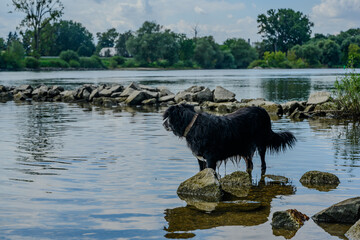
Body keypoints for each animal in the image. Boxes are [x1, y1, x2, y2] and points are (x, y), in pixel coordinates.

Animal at [163, 103, 296, 174]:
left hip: (261, 143)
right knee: (250, 163)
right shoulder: (200, 158)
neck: (193, 125)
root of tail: (263, 110)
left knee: (263, 163)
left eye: (167, 117)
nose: (163, 124)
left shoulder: (211, 159)